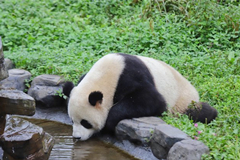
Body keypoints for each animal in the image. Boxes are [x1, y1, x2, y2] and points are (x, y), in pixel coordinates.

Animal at [62, 53, 218, 140]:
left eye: (85, 123)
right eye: (72, 120)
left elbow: (152, 101)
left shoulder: (129, 76)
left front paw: (109, 124)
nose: (76, 137)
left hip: (183, 101)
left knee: (200, 112)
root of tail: (194, 90)